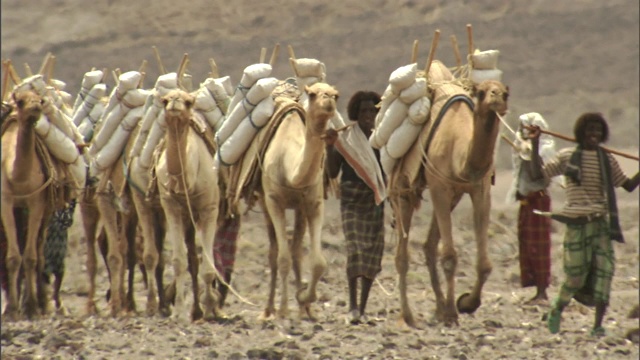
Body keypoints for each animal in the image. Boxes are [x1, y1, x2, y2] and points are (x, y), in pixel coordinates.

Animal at [154, 89, 220, 320]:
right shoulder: (170, 206)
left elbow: (209, 267)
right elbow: (179, 261)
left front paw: (210, 309)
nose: (174, 102)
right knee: (191, 258)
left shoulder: (210, 209)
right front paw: (179, 312)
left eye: (189, 102)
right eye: (164, 100)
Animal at [258, 82, 338, 320]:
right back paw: (269, 309)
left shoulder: (313, 203)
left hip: (300, 210)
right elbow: (282, 258)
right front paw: (284, 309)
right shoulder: (274, 201)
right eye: (311, 94)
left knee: (295, 251)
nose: (329, 98)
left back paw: (304, 309)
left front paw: (304, 298)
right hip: (264, 203)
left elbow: (318, 262)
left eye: (336, 94)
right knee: (274, 252)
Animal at [390, 80, 510, 328]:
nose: (496, 97)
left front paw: (466, 303)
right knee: (402, 254)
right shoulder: (439, 188)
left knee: (429, 244)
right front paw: (454, 313)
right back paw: (408, 316)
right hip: (403, 189)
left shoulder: (480, 190)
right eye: (481, 93)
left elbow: (484, 264)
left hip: (452, 197)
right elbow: (449, 257)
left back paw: (440, 308)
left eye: (506, 93)